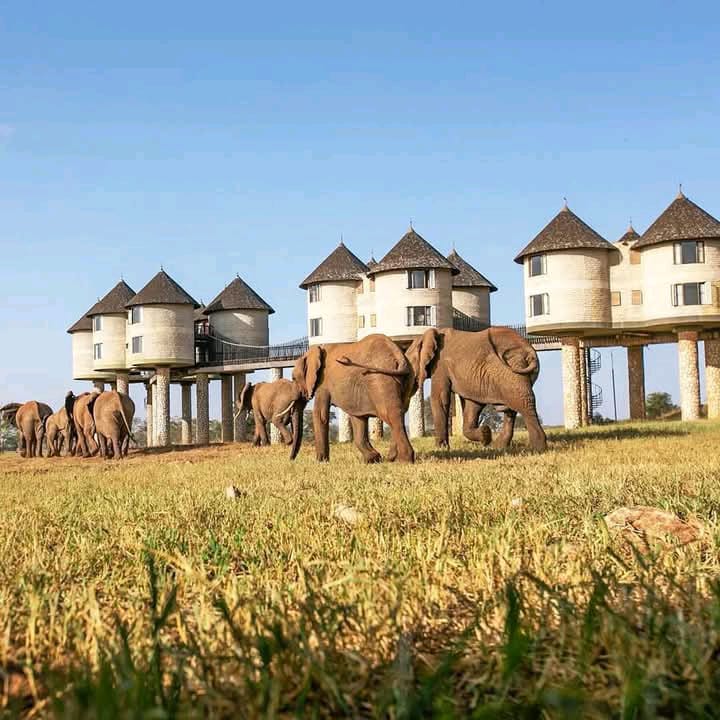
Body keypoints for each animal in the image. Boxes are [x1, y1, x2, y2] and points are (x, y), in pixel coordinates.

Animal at [291, 333, 416, 463]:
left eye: (294, 378)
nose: (292, 459)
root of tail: (400, 357)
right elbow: (358, 418)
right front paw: (372, 459)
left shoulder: (323, 383)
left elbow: (320, 415)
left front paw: (320, 462)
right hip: (408, 379)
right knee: (400, 413)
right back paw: (392, 458)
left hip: (381, 379)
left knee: (391, 414)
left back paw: (404, 460)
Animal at [405, 327, 547, 452]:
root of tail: (529, 350)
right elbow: (472, 405)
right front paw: (485, 435)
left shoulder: (440, 365)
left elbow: (440, 398)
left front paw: (441, 448)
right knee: (512, 407)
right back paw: (499, 446)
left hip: (514, 368)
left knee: (522, 403)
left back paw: (538, 448)